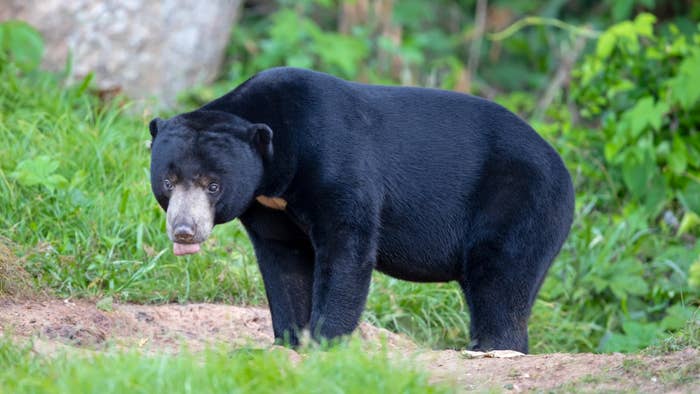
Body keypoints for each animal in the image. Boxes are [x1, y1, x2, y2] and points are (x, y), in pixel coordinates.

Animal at [148, 66, 576, 352]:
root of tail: (563, 168)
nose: (184, 230)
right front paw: (289, 340)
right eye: (168, 181)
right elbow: (283, 261)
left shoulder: (335, 159)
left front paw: (325, 339)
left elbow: (346, 246)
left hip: (521, 198)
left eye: (213, 184)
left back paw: (493, 347)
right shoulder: (269, 206)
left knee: (502, 275)